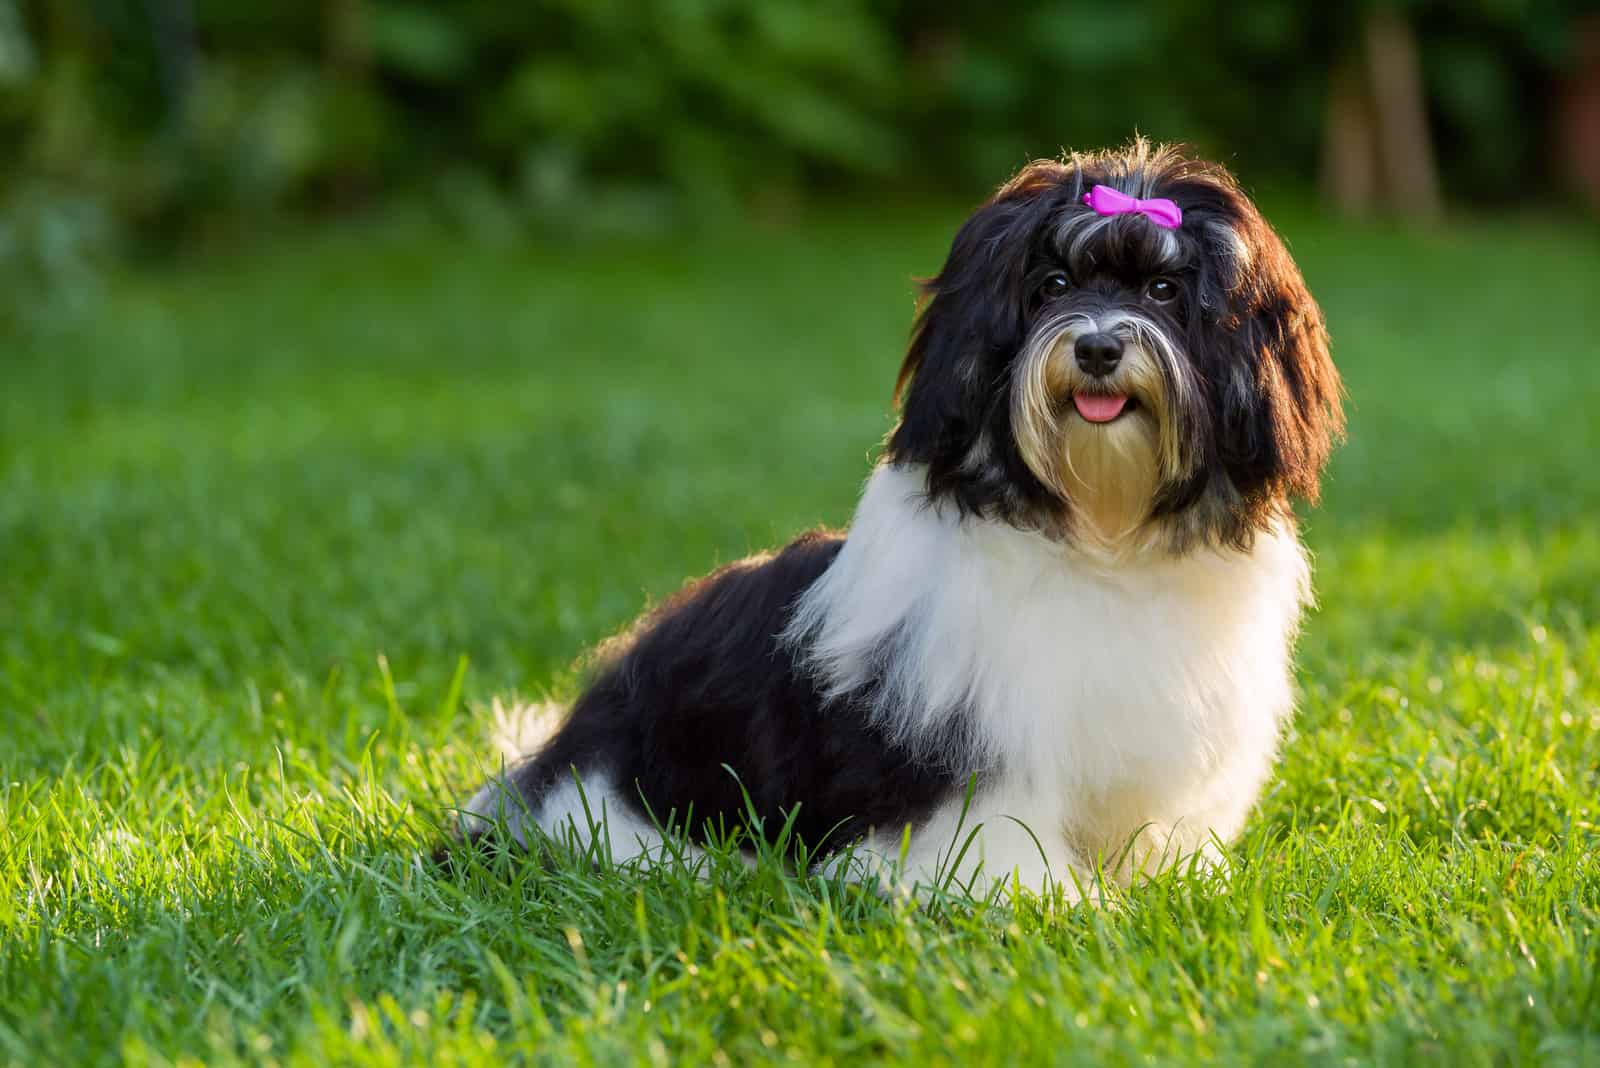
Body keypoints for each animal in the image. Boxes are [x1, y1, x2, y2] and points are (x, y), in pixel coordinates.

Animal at [457, 137, 1344, 895]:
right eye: (1051, 288)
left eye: (1165, 291)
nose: (1096, 348)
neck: (1101, 534)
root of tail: (540, 770)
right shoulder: (969, 740)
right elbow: (993, 835)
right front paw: (1049, 903)